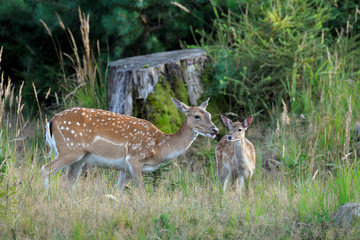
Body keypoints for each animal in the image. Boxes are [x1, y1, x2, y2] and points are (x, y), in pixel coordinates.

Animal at [40, 97, 218, 193]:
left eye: (209, 114)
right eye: (196, 116)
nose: (215, 129)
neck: (159, 146)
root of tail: (51, 121)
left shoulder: (124, 167)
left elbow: (119, 190)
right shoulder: (135, 159)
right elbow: (141, 189)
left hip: (79, 159)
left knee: (70, 182)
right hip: (69, 149)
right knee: (45, 169)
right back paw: (48, 196)